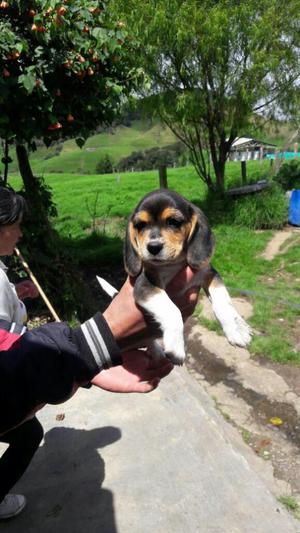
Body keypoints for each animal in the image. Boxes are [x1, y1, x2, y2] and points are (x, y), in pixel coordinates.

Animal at [98, 188, 251, 366]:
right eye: (140, 225)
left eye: (173, 222)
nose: (153, 247)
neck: (173, 264)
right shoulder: (144, 286)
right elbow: (172, 310)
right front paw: (176, 347)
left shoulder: (209, 273)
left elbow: (223, 301)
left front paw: (235, 329)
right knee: (148, 339)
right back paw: (157, 352)